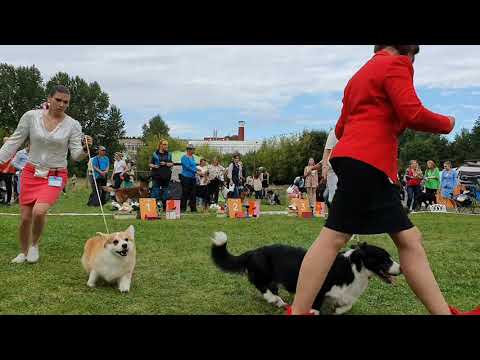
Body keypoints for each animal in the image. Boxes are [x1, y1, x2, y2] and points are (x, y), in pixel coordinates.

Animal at [210, 232, 402, 314]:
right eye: (385, 259)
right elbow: (316, 308)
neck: (354, 267)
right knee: (263, 287)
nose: (401, 269)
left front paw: (337, 310)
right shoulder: (318, 290)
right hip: (263, 274)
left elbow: (346, 305)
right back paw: (277, 301)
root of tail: (253, 251)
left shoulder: (344, 295)